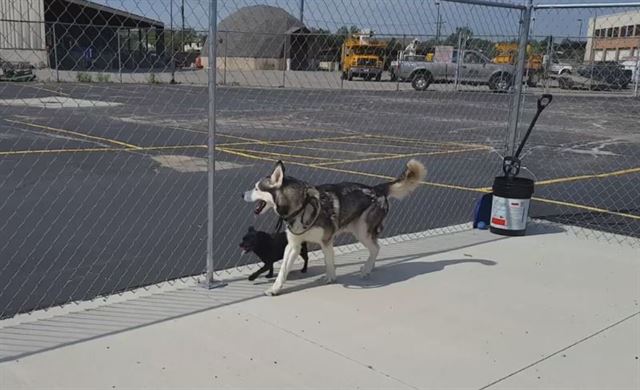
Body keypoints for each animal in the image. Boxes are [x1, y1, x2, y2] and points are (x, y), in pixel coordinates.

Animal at [242, 159, 428, 296]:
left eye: (257, 188)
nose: (242, 194)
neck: (301, 206)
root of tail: (377, 189)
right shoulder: (294, 245)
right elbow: (283, 270)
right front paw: (275, 289)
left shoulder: (326, 240)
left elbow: (329, 261)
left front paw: (330, 278)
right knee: (375, 248)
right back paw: (370, 267)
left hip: (362, 231)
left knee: (376, 248)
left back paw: (366, 269)